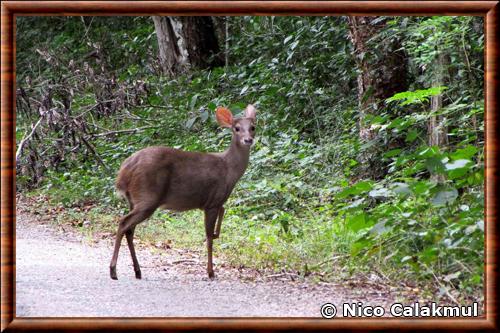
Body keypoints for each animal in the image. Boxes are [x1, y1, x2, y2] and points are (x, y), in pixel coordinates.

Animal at [110, 103, 258, 278]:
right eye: (236, 128)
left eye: (253, 127)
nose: (248, 140)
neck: (229, 170)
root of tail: (123, 173)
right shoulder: (212, 203)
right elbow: (209, 237)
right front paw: (210, 271)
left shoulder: (216, 203)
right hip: (148, 196)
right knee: (123, 223)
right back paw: (113, 270)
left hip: (133, 200)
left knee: (130, 230)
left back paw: (137, 271)